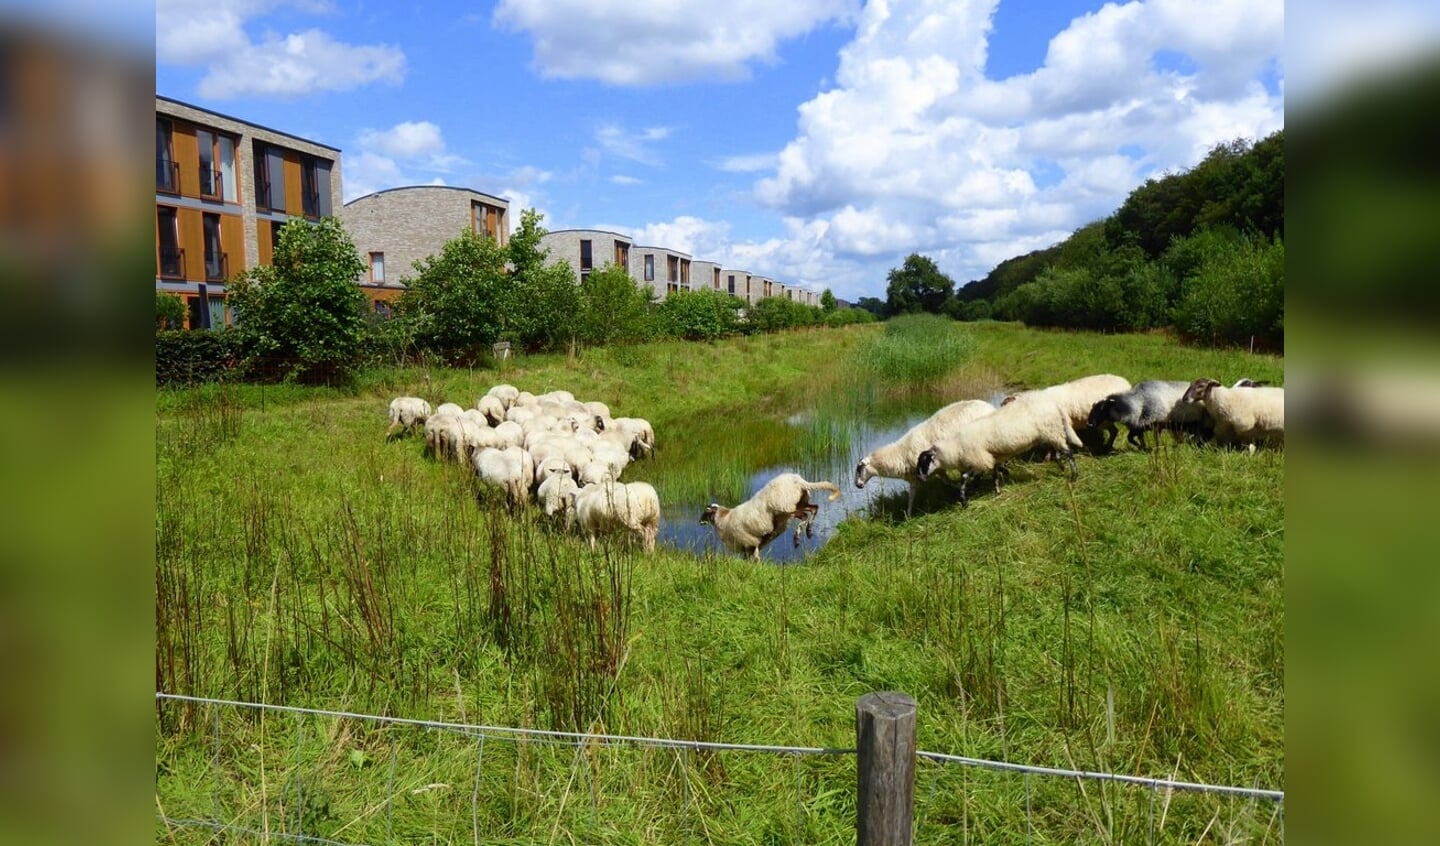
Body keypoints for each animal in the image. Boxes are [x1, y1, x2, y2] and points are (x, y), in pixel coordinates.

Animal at [699, 471, 840, 558]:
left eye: (705, 512)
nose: (700, 522)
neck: (723, 518)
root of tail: (798, 481)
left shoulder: (750, 544)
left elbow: (754, 560)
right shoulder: (753, 546)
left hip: (786, 509)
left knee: (806, 514)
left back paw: (797, 538)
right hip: (798, 504)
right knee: (814, 508)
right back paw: (809, 531)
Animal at [858, 397, 996, 515]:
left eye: (859, 469)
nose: (857, 485)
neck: (899, 455)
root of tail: (989, 406)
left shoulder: (935, 468)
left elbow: (949, 482)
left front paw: (962, 488)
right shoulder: (915, 478)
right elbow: (911, 497)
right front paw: (908, 515)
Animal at [915, 394, 1082, 506]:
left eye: (924, 462)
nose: (919, 478)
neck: (955, 448)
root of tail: (1054, 404)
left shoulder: (980, 459)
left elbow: (964, 478)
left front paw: (964, 501)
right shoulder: (992, 457)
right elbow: (995, 474)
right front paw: (997, 492)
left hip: (1051, 430)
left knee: (1069, 453)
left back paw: (1074, 476)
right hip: (1052, 432)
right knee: (1061, 451)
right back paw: (1062, 467)